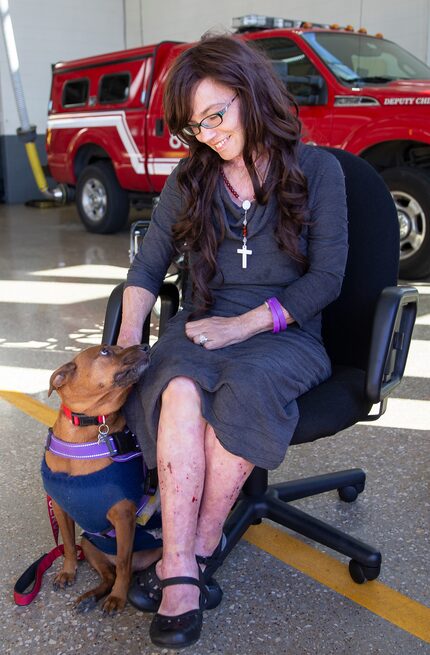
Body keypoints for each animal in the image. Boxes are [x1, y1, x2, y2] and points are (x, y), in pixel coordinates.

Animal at [44, 344, 161, 616]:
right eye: (106, 351)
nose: (146, 346)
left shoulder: (124, 518)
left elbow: (124, 565)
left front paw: (118, 597)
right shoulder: (60, 508)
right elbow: (67, 546)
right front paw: (68, 571)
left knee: (121, 571)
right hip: (89, 545)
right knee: (108, 576)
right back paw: (89, 598)